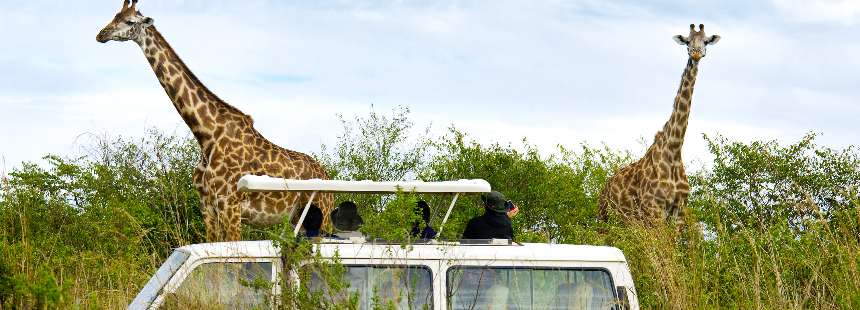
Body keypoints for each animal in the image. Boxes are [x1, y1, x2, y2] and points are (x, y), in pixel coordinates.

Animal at [96, 0, 332, 241]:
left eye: (129, 21)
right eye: (114, 16)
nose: (101, 34)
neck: (206, 135)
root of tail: (326, 173)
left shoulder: (231, 206)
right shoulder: (207, 205)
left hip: (323, 214)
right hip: (298, 219)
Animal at [600, 23, 724, 230]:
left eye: (706, 41)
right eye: (687, 41)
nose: (696, 53)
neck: (674, 149)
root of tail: (604, 188)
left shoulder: (679, 211)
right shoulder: (654, 209)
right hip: (605, 218)